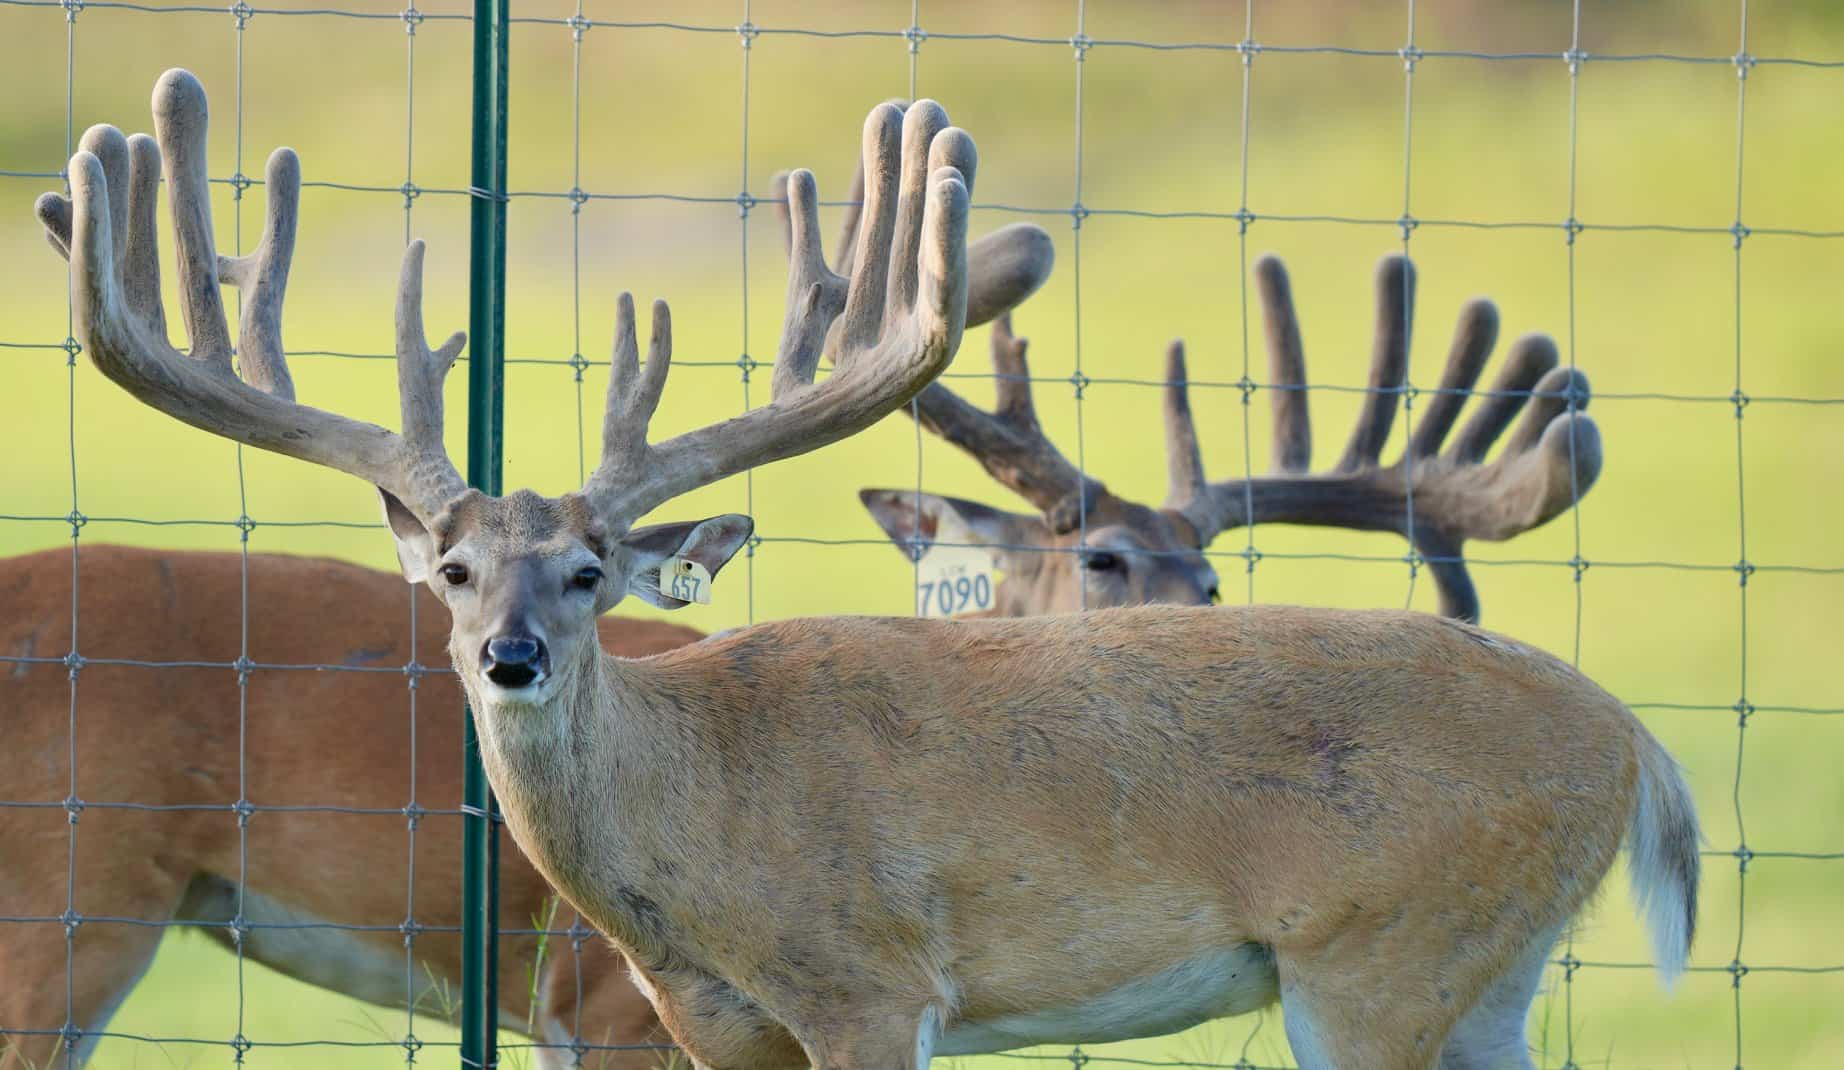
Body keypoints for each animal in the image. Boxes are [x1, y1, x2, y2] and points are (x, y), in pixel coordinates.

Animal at [34, 68, 1698, 1070]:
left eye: (589, 567)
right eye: (449, 567)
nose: (512, 656)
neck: (698, 814)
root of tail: (1634, 740)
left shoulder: (873, 982)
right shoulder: (706, 1019)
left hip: (1378, 952)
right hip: (1486, 975)